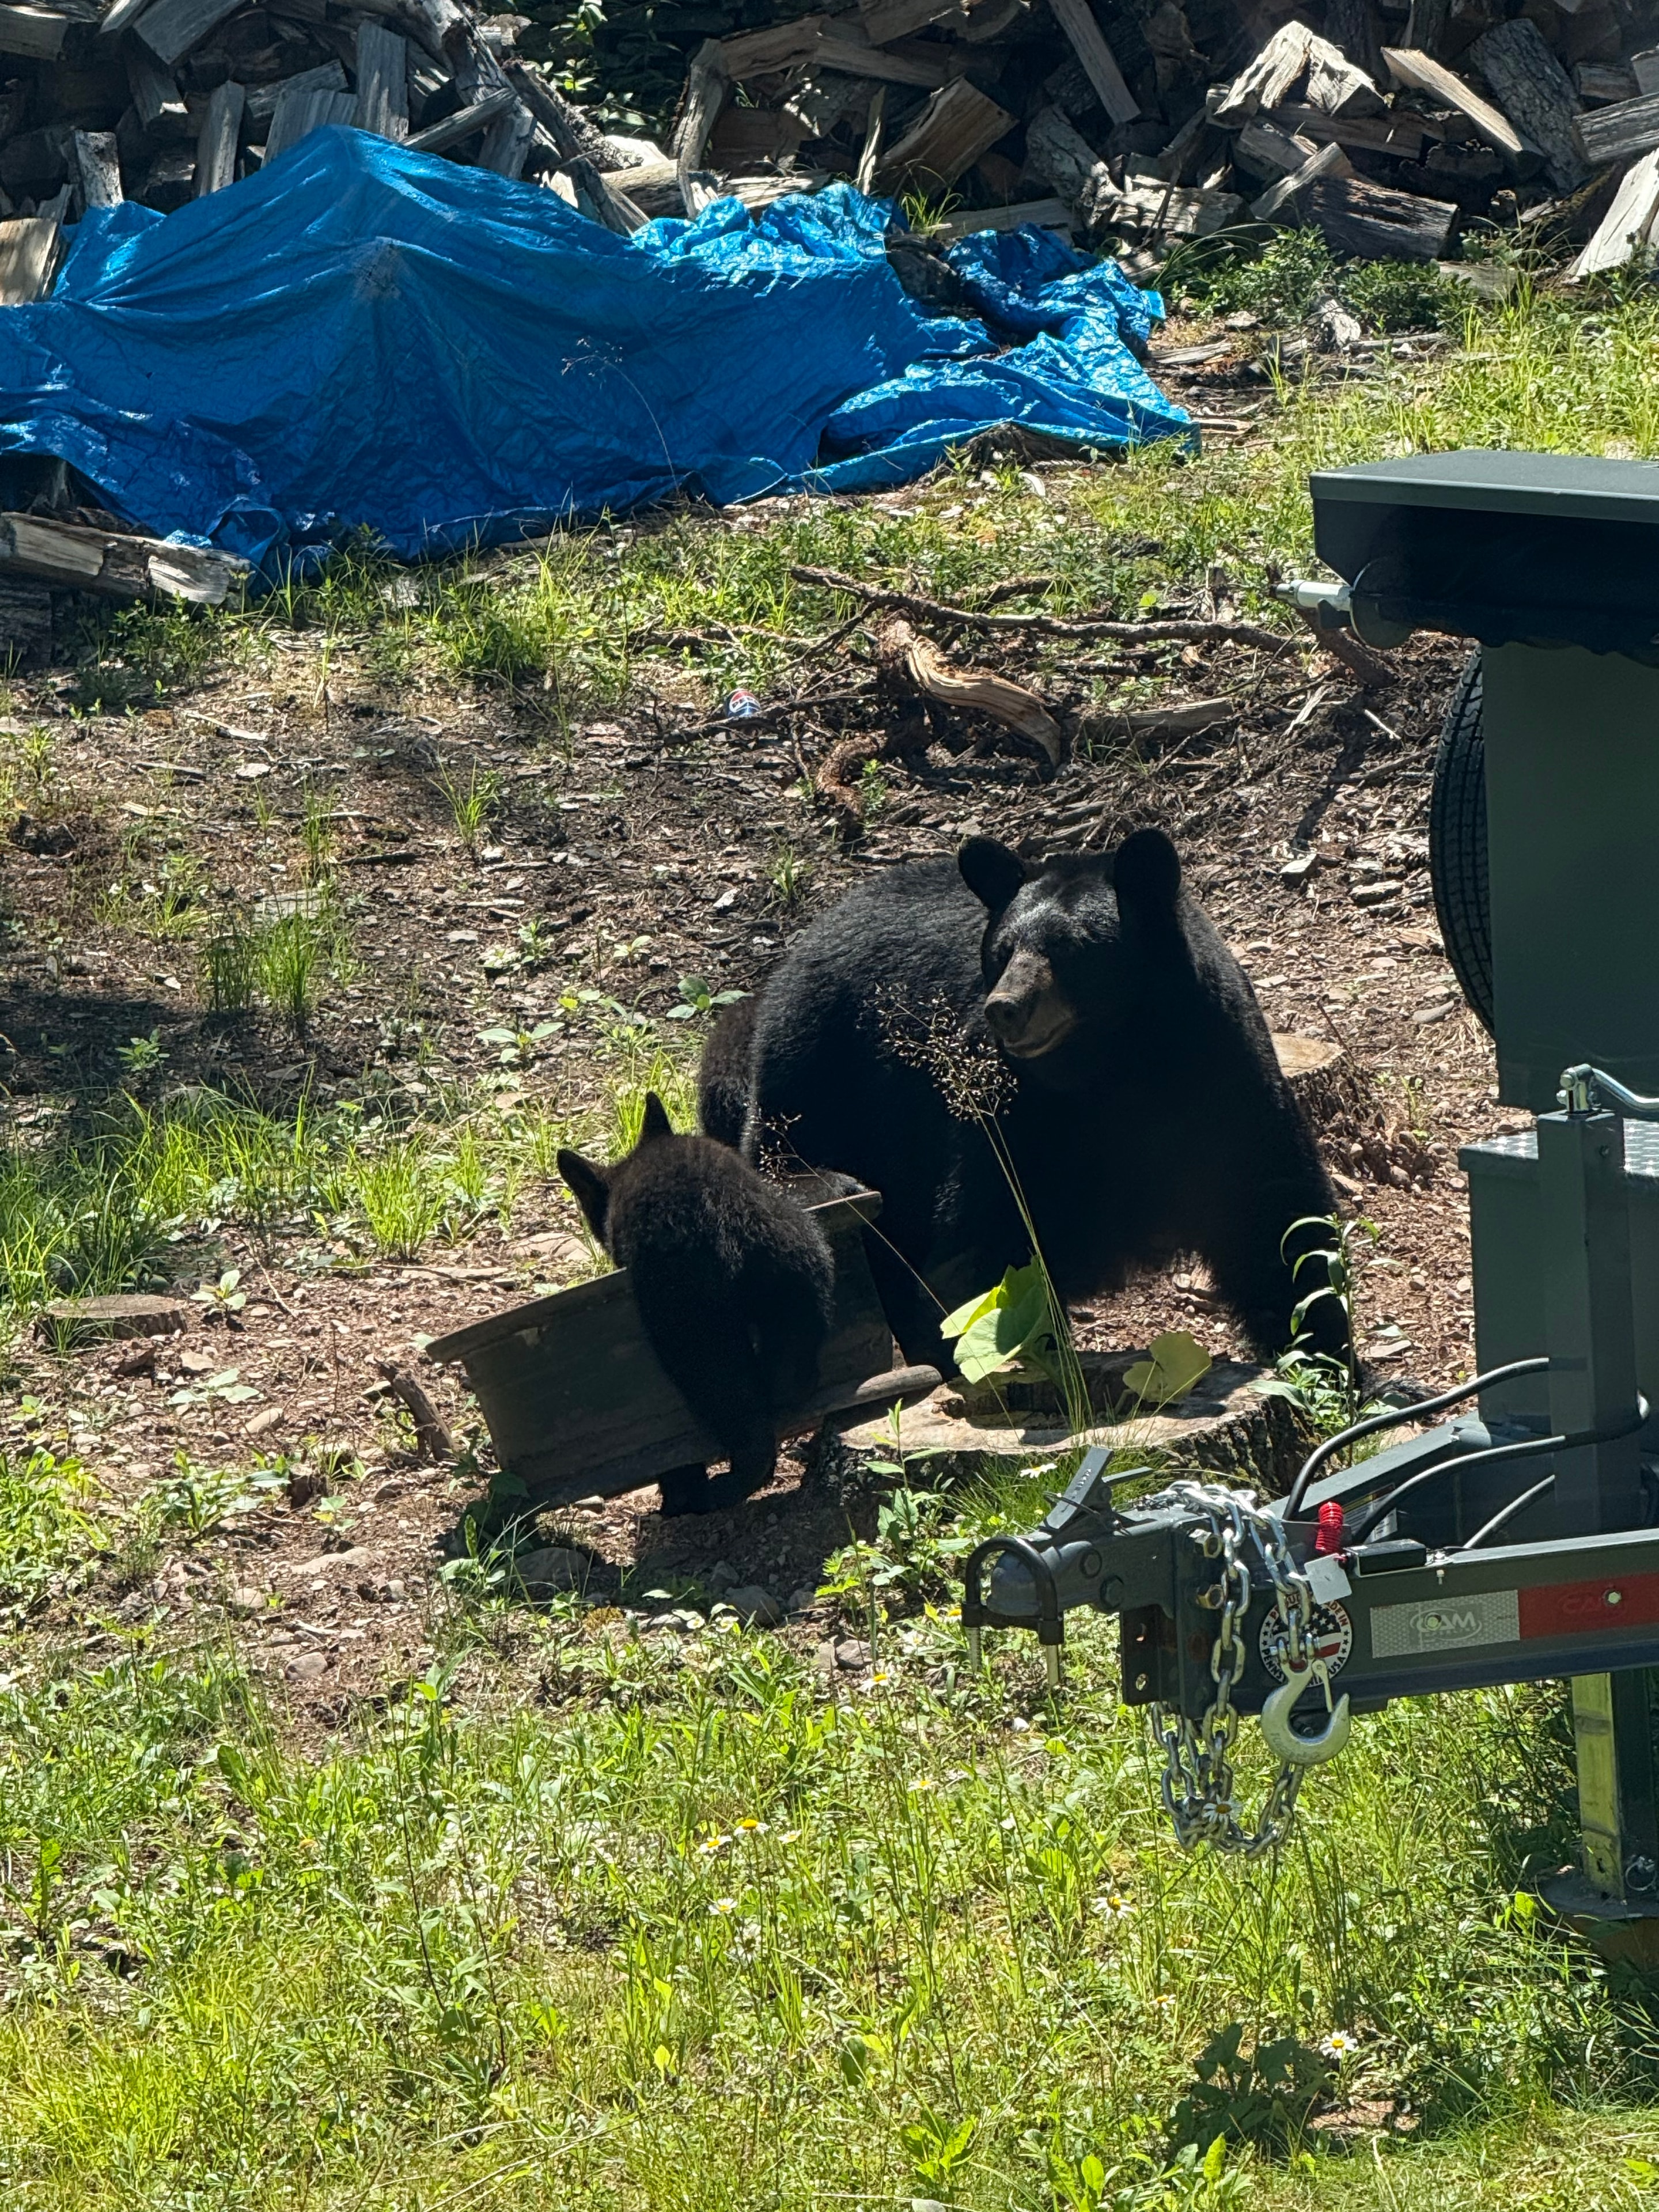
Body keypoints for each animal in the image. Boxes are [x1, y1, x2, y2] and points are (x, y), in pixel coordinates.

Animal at [557, 1093, 836, 1515]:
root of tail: (725, 1212)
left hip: (693, 1328)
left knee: (740, 1414)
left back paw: (699, 1495)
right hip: (796, 1258)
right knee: (792, 1372)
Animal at [729, 827, 1345, 1374]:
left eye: (1070, 949)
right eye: (1002, 951)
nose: (1006, 1008)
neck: (1114, 1068)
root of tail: (796, 952)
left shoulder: (1219, 1070)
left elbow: (1273, 1214)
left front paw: (1327, 1360)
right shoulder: (1010, 1108)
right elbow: (990, 1241)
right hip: (821, 1089)